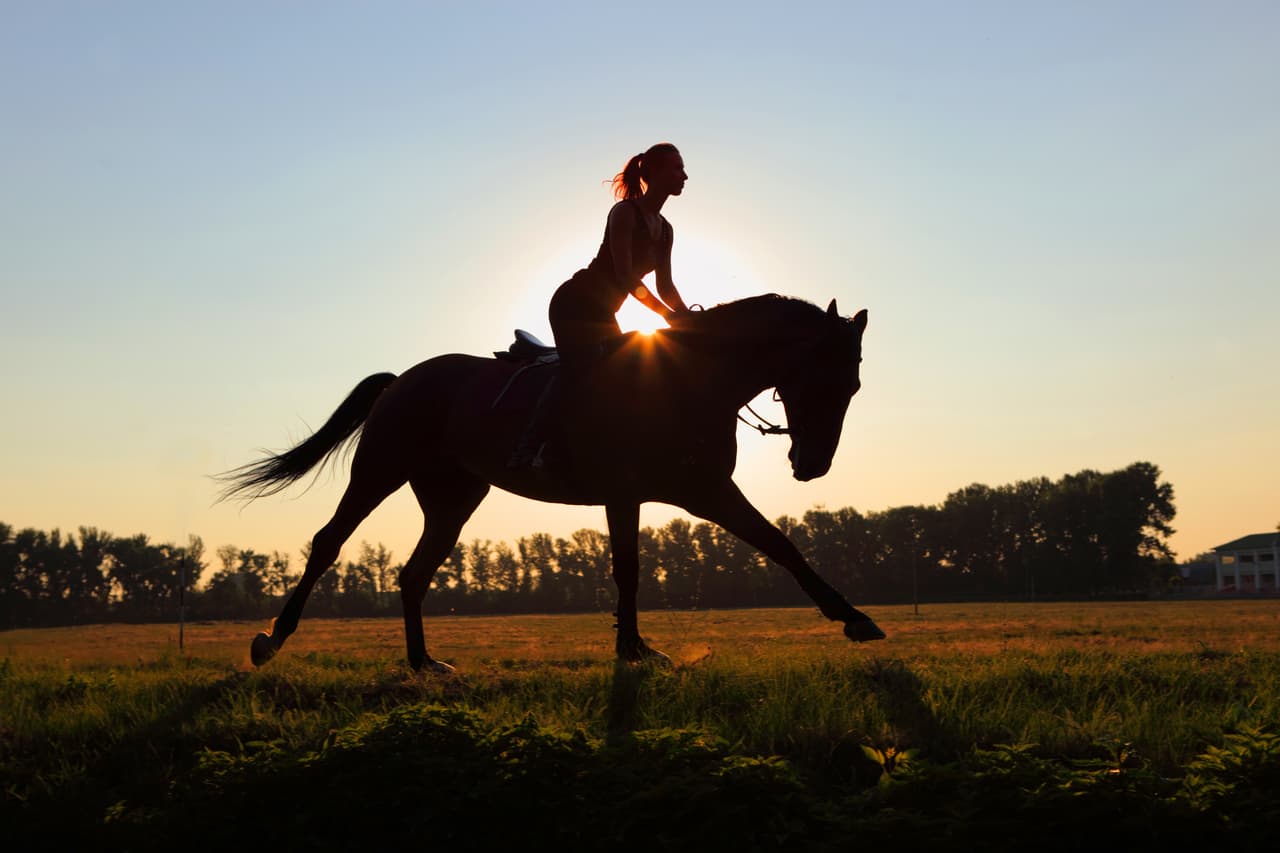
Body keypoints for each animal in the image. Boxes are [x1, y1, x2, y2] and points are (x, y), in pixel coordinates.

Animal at [218, 293, 885, 671]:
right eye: (827, 380)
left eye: (853, 386)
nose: (813, 464)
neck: (692, 379)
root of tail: (404, 377)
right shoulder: (657, 492)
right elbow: (637, 568)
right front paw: (633, 649)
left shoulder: (685, 492)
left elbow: (775, 547)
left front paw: (854, 618)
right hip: (380, 470)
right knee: (329, 543)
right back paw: (272, 640)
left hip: (453, 497)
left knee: (413, 573)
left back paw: (423, 662)